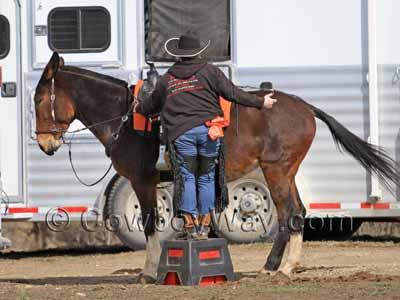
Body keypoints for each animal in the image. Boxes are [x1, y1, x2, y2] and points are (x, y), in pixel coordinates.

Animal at [33, 52, 400, 282]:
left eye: (38, 99)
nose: (44, 144)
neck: (127, 115)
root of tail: (304, 107)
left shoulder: (143, 180)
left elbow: (151, 222)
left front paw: (149, 272)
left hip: (276, 172)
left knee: (290, 214)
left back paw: (281, 268)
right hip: (286, 172)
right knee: (296, 213)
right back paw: (279, 266)